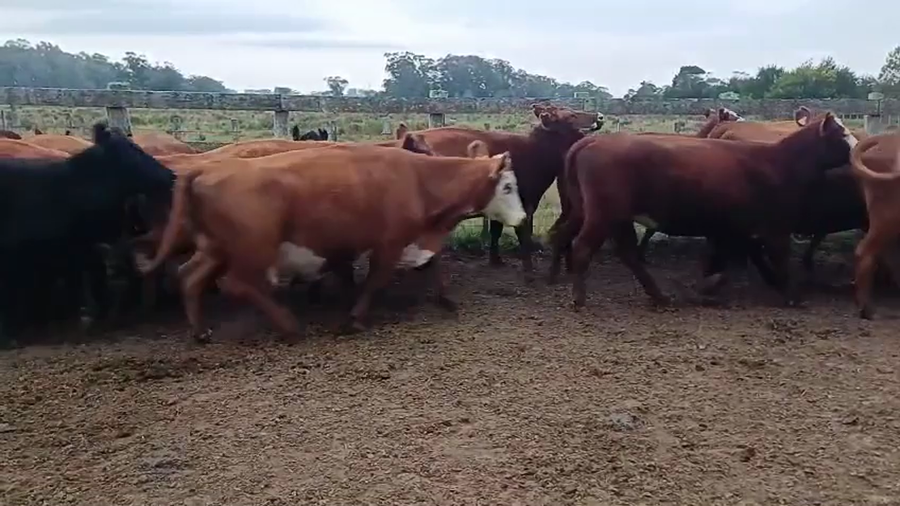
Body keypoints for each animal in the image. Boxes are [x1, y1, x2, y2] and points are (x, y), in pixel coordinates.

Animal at [139, 141, 526, 343]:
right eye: (507, 187)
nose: (523, 219)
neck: (418, 180)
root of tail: (206, 169)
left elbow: (432, 264)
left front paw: (445, 299)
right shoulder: (389, 243)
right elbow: (376, 280)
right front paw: (355, 317)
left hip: (215, 249)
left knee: (191, 277)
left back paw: (201, 330)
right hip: (251, 250)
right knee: (238, 284)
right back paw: (289, 325)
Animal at [391, 104, 603, 275]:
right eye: (571, 116)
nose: (599, 116)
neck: (534, 151)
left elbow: (496, 230)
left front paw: (496, 260)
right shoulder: (524, 203)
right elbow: (523, 234)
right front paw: (528, 268)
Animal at [548, 112, 856, 310]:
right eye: (842, 135)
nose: (859, 151)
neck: (778, 162)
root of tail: (594, 141)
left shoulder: (735, 229)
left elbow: (729, 260)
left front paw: (708, 287)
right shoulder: (774, 227)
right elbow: (775, 258)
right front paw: (791, 295)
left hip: (598, 213)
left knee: (617, 251)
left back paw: (659, 297)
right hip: (602, 215)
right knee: (583, 247)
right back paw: (579, 298)